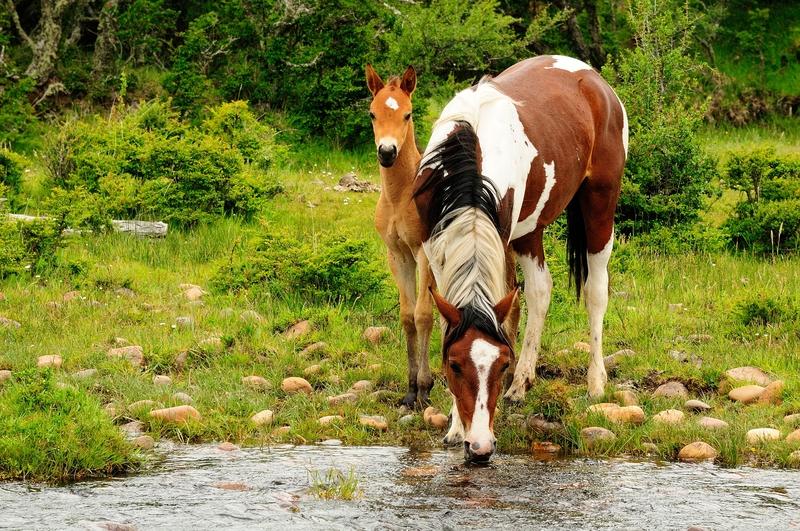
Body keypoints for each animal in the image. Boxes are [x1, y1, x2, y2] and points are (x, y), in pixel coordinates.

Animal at [414, 55, 628, 462]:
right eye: (454, 365)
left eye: (501, 365)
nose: (480, 447)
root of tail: (593, 78)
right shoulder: (436, 249)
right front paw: (455, 427)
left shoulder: (499, 240)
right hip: (531, 230)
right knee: (541, 290)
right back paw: (523, 384)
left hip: (600, 205)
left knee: (597, 291)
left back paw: (595, 382)